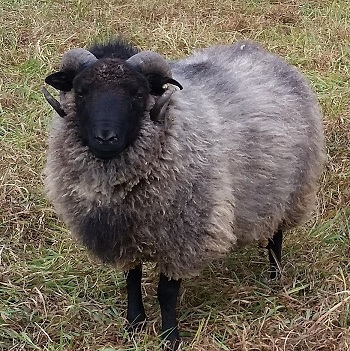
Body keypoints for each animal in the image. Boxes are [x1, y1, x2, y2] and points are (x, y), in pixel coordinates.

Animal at [43, 37, 326, 350]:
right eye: (81, 92)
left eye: (138, 94)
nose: (106, 138)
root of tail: (260, 51)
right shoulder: (126, 235)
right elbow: (132, 278)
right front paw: (134, 325)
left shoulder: (184, 235)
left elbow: (166, 293)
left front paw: (170, 338)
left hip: (289, 190)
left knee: (276, 234)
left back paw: (275, 276)